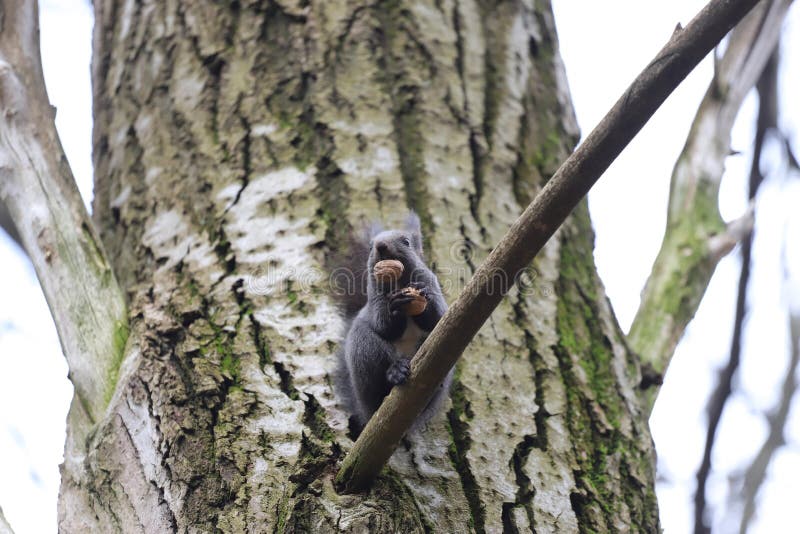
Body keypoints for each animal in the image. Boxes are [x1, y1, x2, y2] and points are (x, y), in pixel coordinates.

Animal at [332, 212, 453, 435]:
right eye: (371, 245)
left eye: (406, 242)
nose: (380, 245)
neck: (398, 282)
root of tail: (366, 413)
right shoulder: (375, 295)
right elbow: (384, 327)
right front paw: (394, 305)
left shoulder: (430, 280)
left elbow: (437, 319)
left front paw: (424, 297)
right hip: (366, 350)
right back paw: (395, 371)